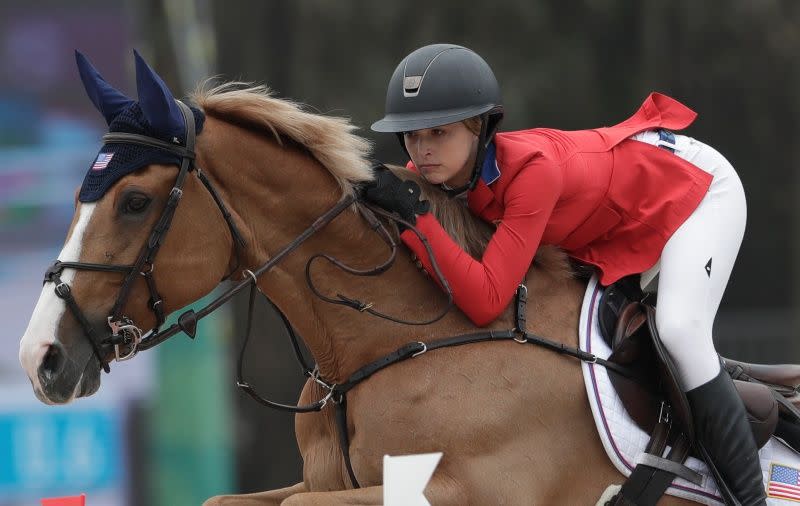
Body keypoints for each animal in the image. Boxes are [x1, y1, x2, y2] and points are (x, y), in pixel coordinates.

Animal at [17, 52, 692, 506]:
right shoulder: (320, 479)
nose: (37, 357)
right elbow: (232, 498)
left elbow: (296, 503)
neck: (380, 343)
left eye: (134, 202)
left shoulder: (463, 489)